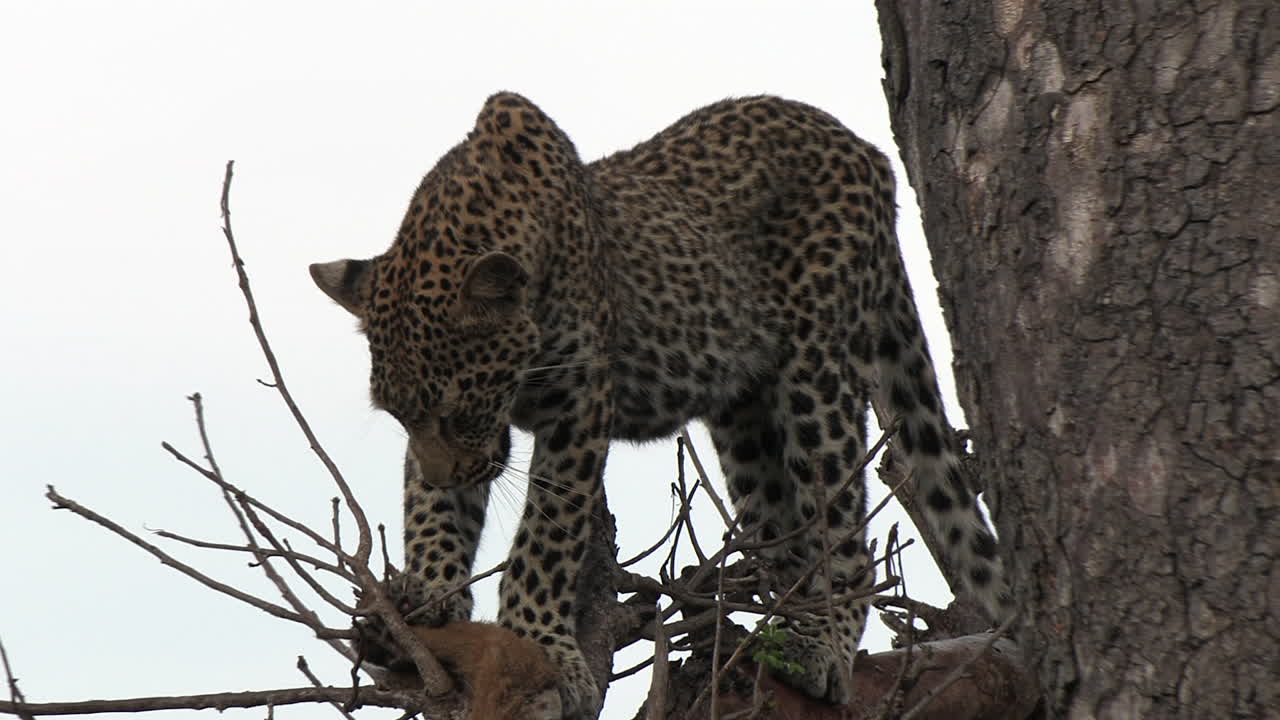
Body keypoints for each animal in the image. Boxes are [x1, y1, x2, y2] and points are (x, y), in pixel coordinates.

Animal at [312, 92, 1011, 718]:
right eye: (402, 417)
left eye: (457, 410)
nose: (447, 471)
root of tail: (867, 150)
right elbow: (432, 516)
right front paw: (427, 604)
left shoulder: (578, 404)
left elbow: (546, 538)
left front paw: (542, 649)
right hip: (745, 412)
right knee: (780, 528)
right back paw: (775, 639)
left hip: (818, 371)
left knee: (840, 525)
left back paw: (825, 647)